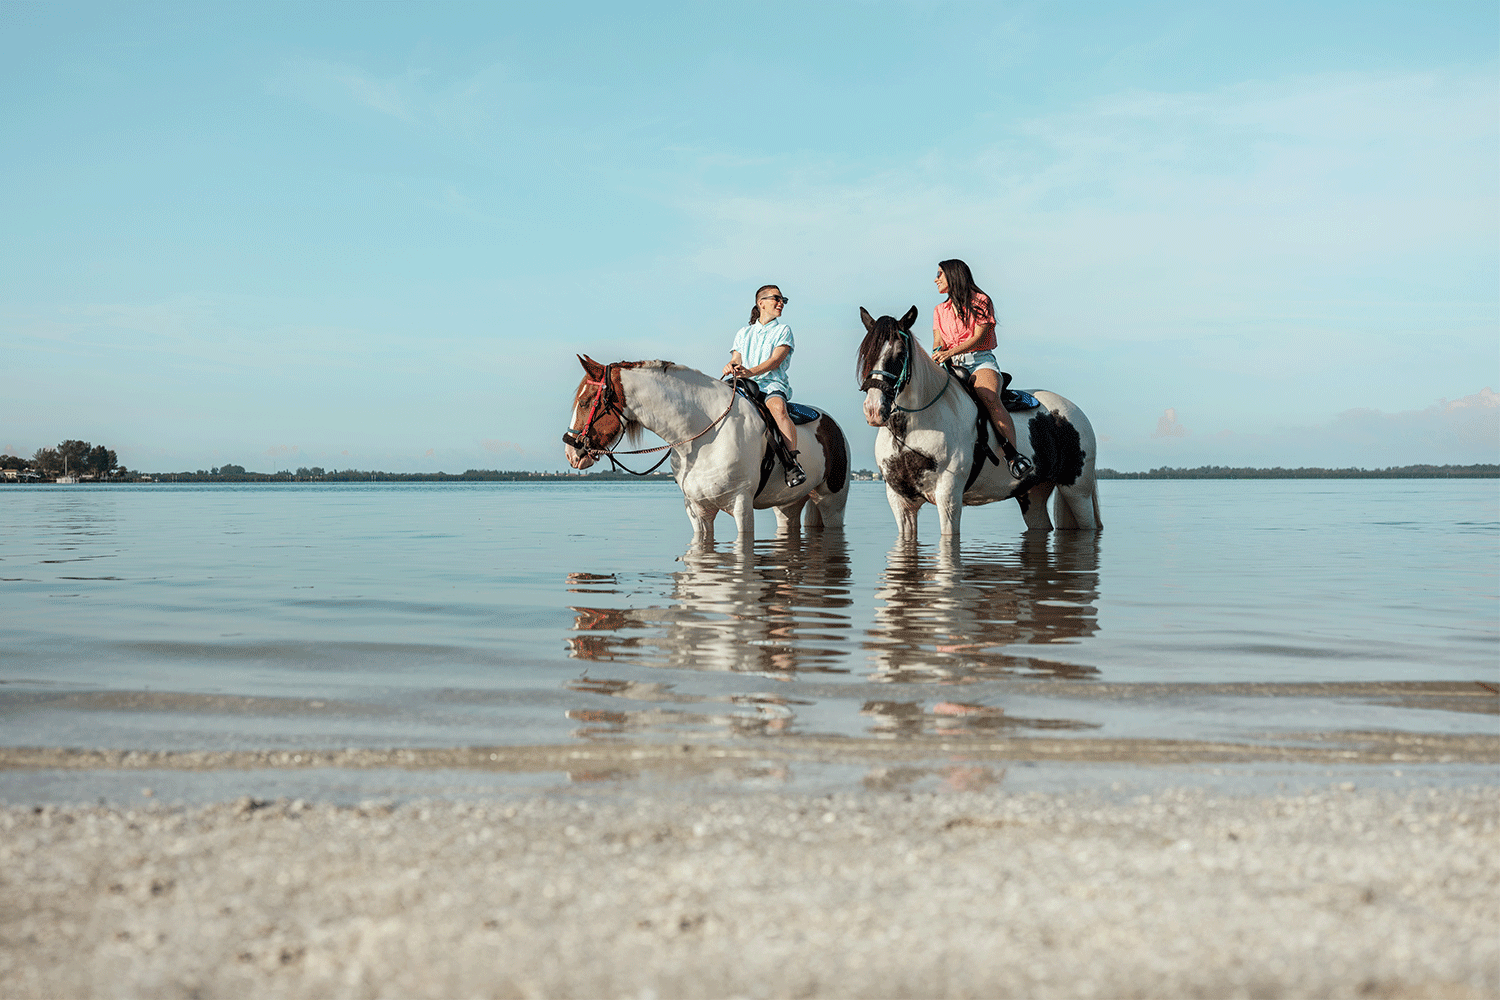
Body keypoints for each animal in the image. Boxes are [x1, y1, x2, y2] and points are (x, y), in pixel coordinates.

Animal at [564, 355, 852, 542]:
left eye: (586, 402)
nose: (571, 452)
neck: (702, 436)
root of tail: (833, 424)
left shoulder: (741, 506)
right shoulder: (697, 511)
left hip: (832, 502)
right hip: (788, 505)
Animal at [858, 308, 1104, 539]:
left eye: (900, 354)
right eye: (866, 354)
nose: (873, 409)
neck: (914, 430)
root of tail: (1073, 411)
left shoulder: (949, 498)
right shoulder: (900, 502)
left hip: (1077, 491)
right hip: (1033, 494)